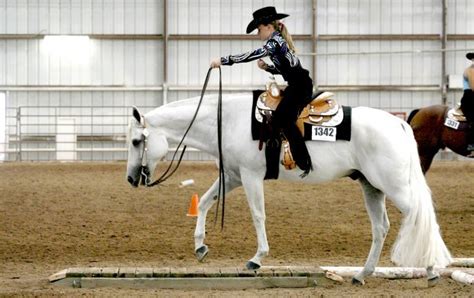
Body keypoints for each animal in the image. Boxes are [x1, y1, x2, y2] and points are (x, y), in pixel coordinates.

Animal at [126, 92, 452, 284]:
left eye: (136, 141)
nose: (130, 179)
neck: (228, 120)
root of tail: (399, 125)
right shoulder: (232, 176)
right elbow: (205, 202)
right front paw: (200, 247)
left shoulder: (250, 176)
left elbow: (258, 215)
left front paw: (257, 258)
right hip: (371, 186)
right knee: (381, 227)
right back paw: (362, 274)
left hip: (393, 186)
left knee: (421, 218)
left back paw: (432, 269)